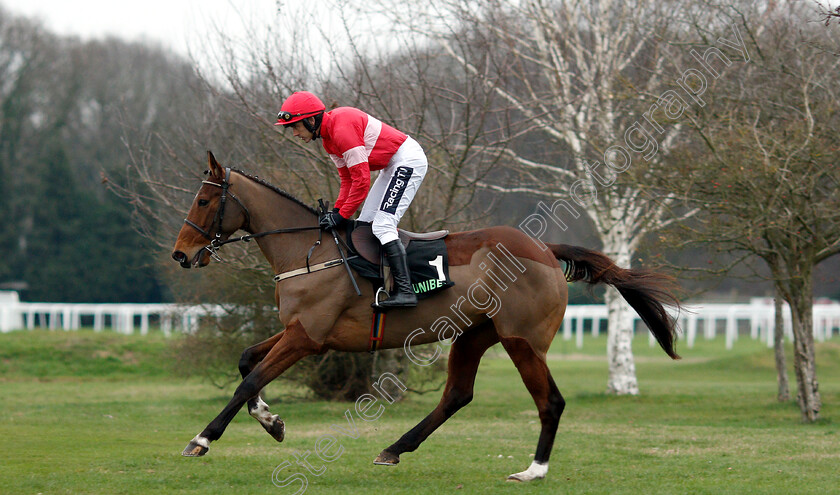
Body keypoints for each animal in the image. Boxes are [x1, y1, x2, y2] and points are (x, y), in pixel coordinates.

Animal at [171, 152, 684, 484]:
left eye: (203, 201)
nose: (181, 255)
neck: (308, 250)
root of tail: (542, 247)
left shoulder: (307, 338)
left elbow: (248, 380)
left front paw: (203, 438)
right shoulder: (298, 331)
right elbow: (245, 361)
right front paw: (271, 421)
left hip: (522, 341)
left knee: (550, 402)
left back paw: (533, 470)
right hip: (473, 335)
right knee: (457, 395)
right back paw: (394, 449)